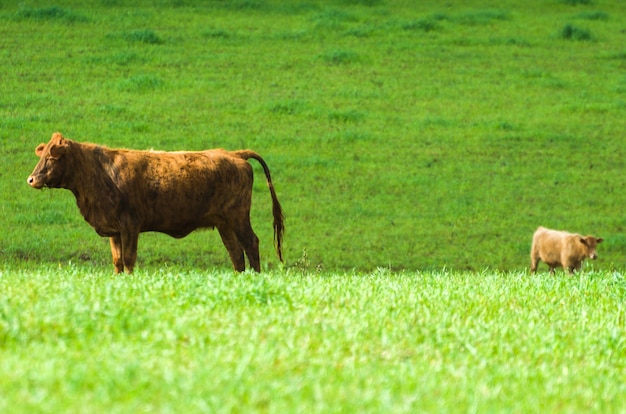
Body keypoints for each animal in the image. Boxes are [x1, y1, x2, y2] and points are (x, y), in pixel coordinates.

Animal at [26, 133, 284, 274]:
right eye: (42, 155)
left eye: (51, 157)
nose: (31, 179)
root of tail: (234, 154)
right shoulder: (114, 230)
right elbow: (117, 261)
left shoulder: (130, 226)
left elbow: (129, 259)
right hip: (224, 223)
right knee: (236, 253)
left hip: (238, 217)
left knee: (251, 243)